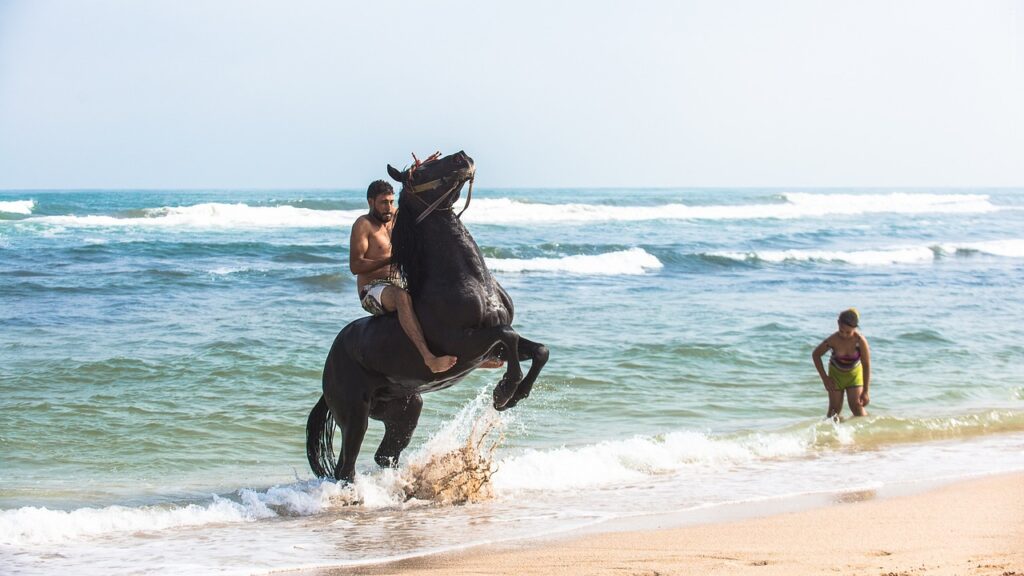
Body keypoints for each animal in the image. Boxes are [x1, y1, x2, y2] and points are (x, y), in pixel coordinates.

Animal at [303, 148, 548, 479]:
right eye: (419, 173)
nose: (463, 157)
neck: (466, 279)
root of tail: (328, 369)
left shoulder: (490, 345)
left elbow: (539, 350)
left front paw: (515, 395)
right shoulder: (465, 344)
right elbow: (507, 336)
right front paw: (504, 392)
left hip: (405, 409)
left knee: (385, 456)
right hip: (355, 417)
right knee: (346, 468)